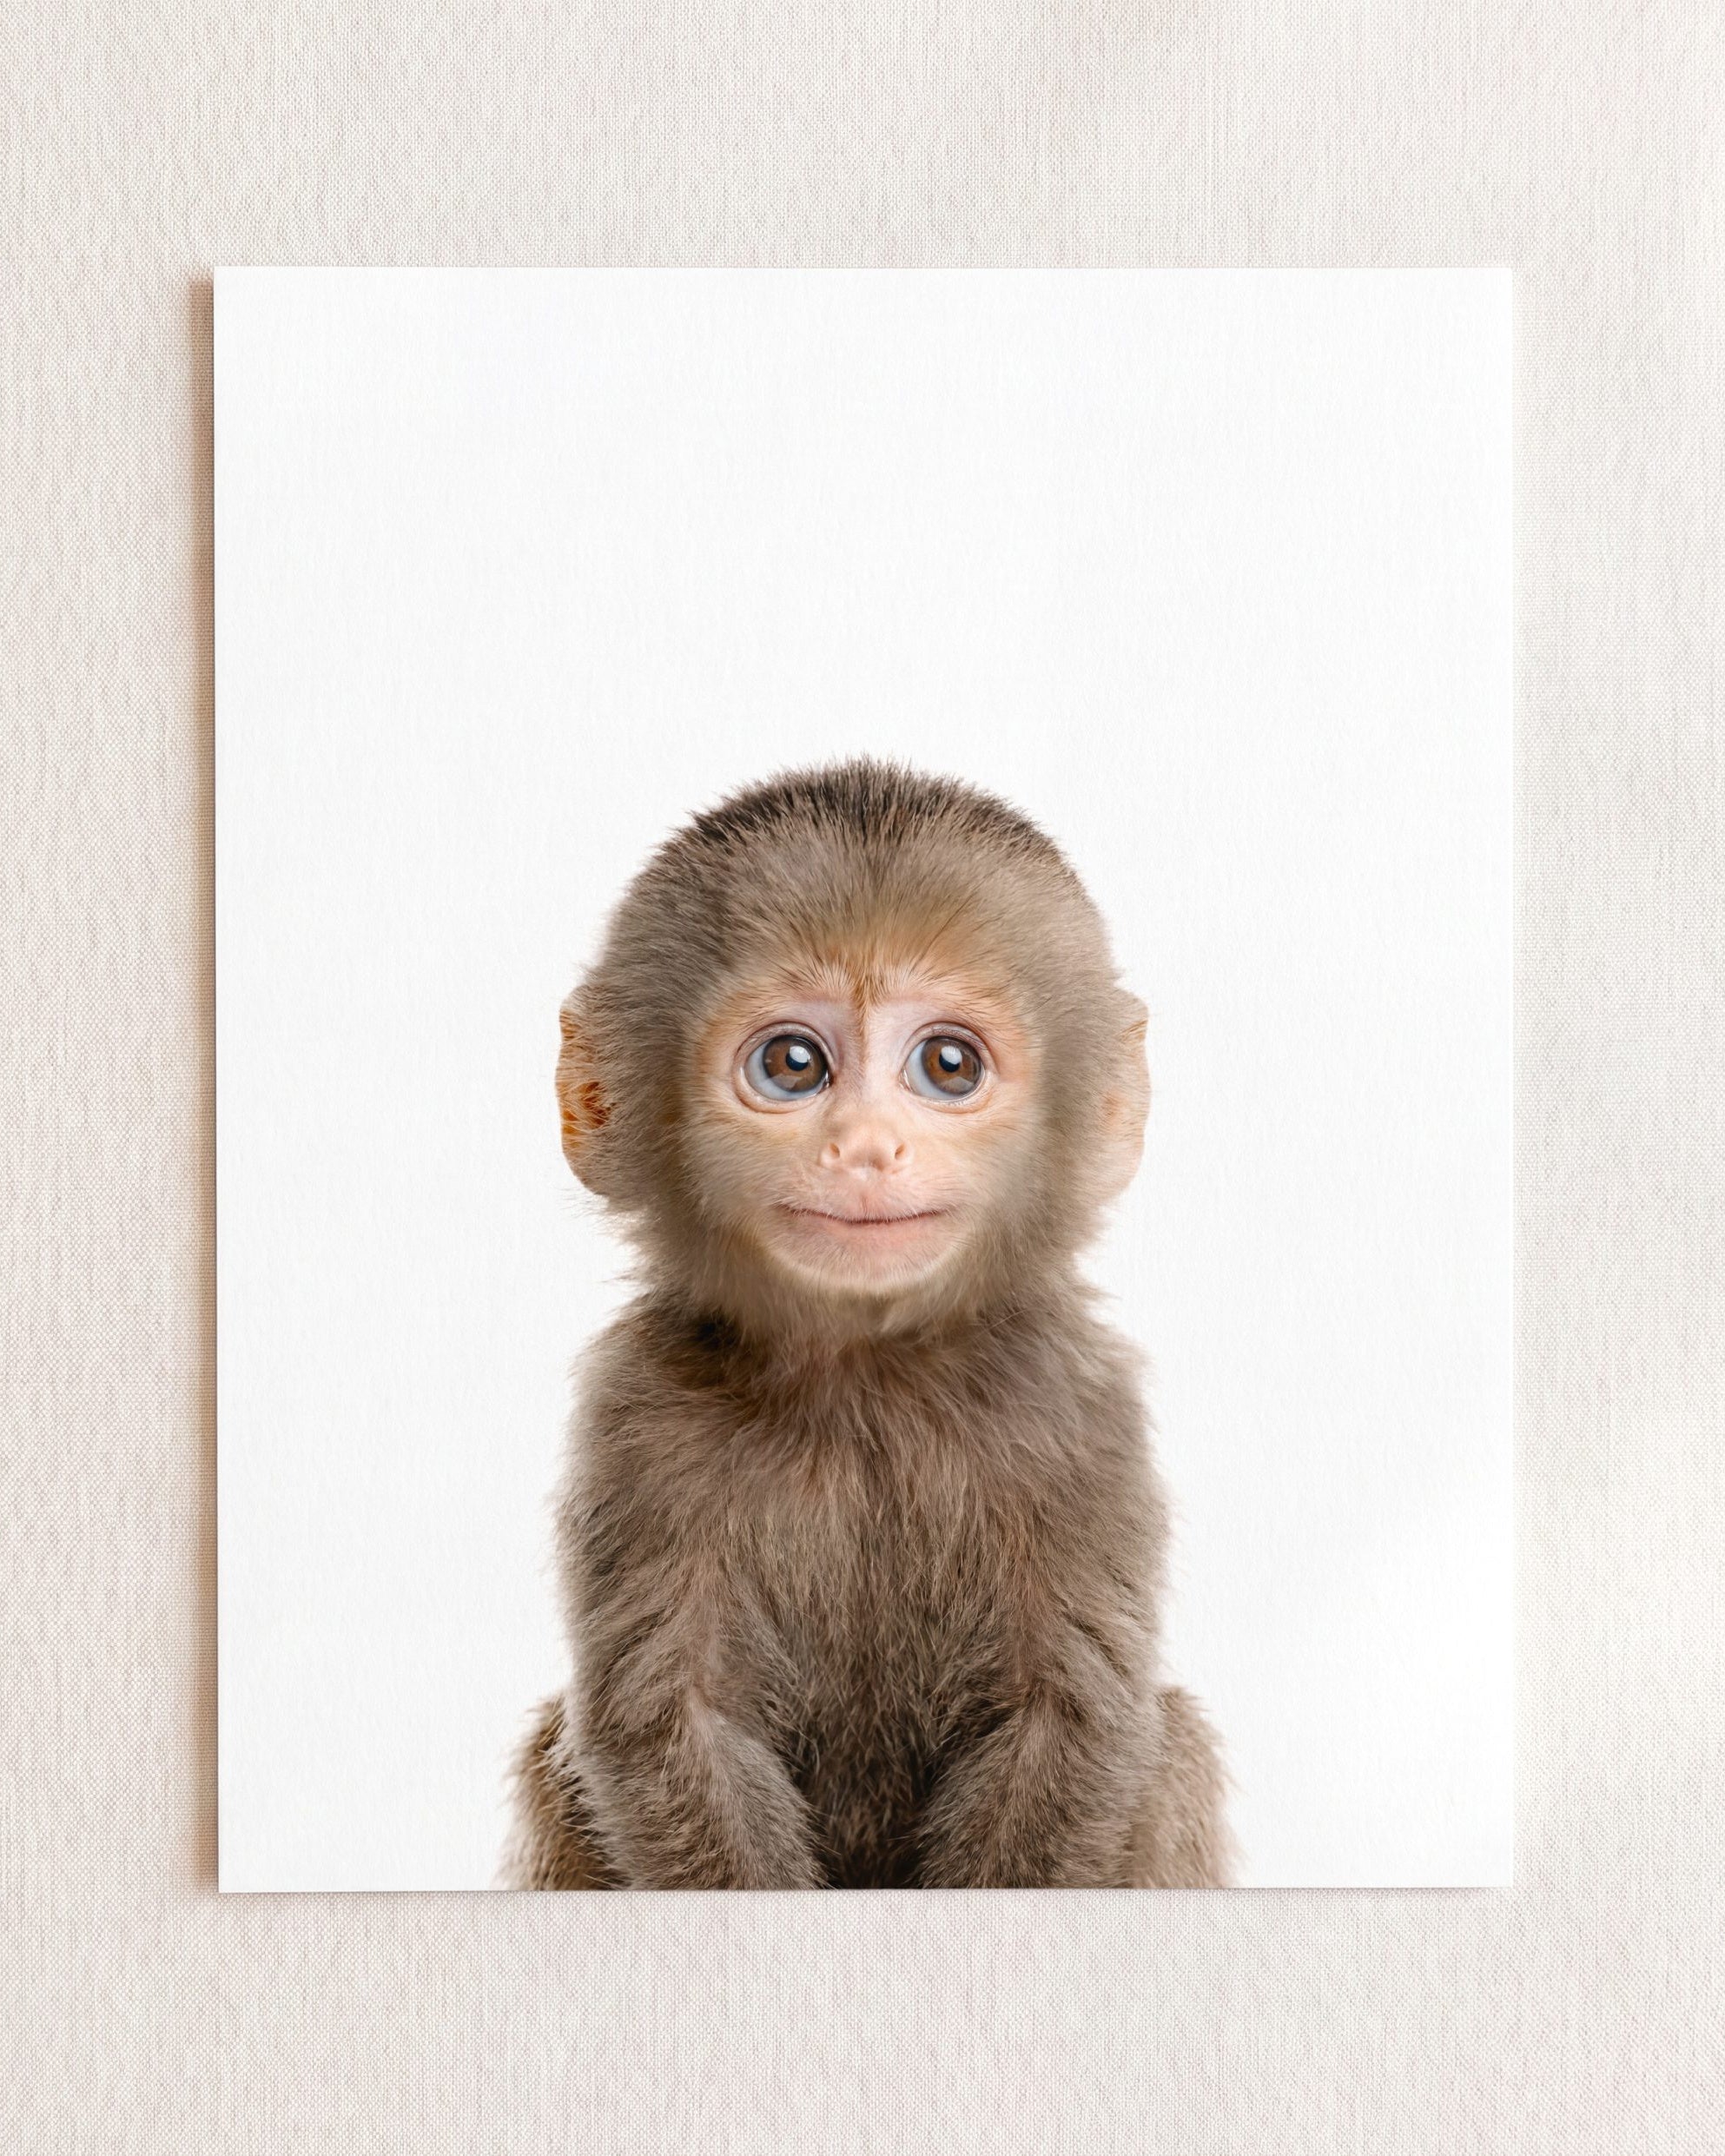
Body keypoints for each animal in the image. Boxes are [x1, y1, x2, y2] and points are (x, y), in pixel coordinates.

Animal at [504, 758, 1231, 1889]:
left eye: (948, 1066)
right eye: (794, 1065)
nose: (866, 1147)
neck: (867, 1376)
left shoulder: (1079, 1406)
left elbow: (1069, 1720)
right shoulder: (637, 1411)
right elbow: (672, 1724)